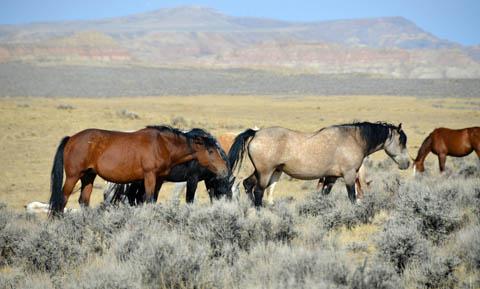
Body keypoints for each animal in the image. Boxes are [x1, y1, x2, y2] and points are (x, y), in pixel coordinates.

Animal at [49, 125, 230, 214]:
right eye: (210, 151)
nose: (224, 170)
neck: (162, 145)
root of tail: (71, 138)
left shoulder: (159, 179)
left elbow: (152, 200)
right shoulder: (149, 176)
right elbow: (148, 200)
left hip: (88, 176)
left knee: (83, 201)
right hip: (73, 176)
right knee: (61, 200)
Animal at [229, 121, 408, 205]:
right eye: (401, 141)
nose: (406, 163)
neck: (353, 139)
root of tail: (256, 133)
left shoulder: (331, 177)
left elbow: (324, 195)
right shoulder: (349, 175)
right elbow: (352, 196)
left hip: (266, 172)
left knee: (247, 184)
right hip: (266, 172)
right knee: (258, 191)